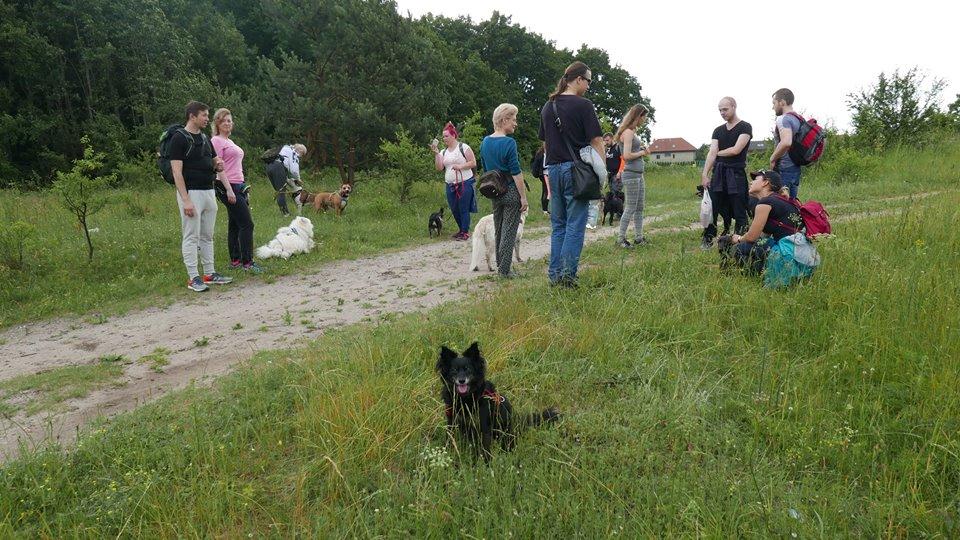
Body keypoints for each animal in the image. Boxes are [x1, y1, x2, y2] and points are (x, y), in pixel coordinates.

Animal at [436, 344, 564, 462]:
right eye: (454, 370)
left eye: (468, 369)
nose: (461, 380)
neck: (465, 398)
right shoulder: (452, 421)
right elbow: (449, 439)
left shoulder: (484, 427)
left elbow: (484, 448)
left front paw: (484, 463)